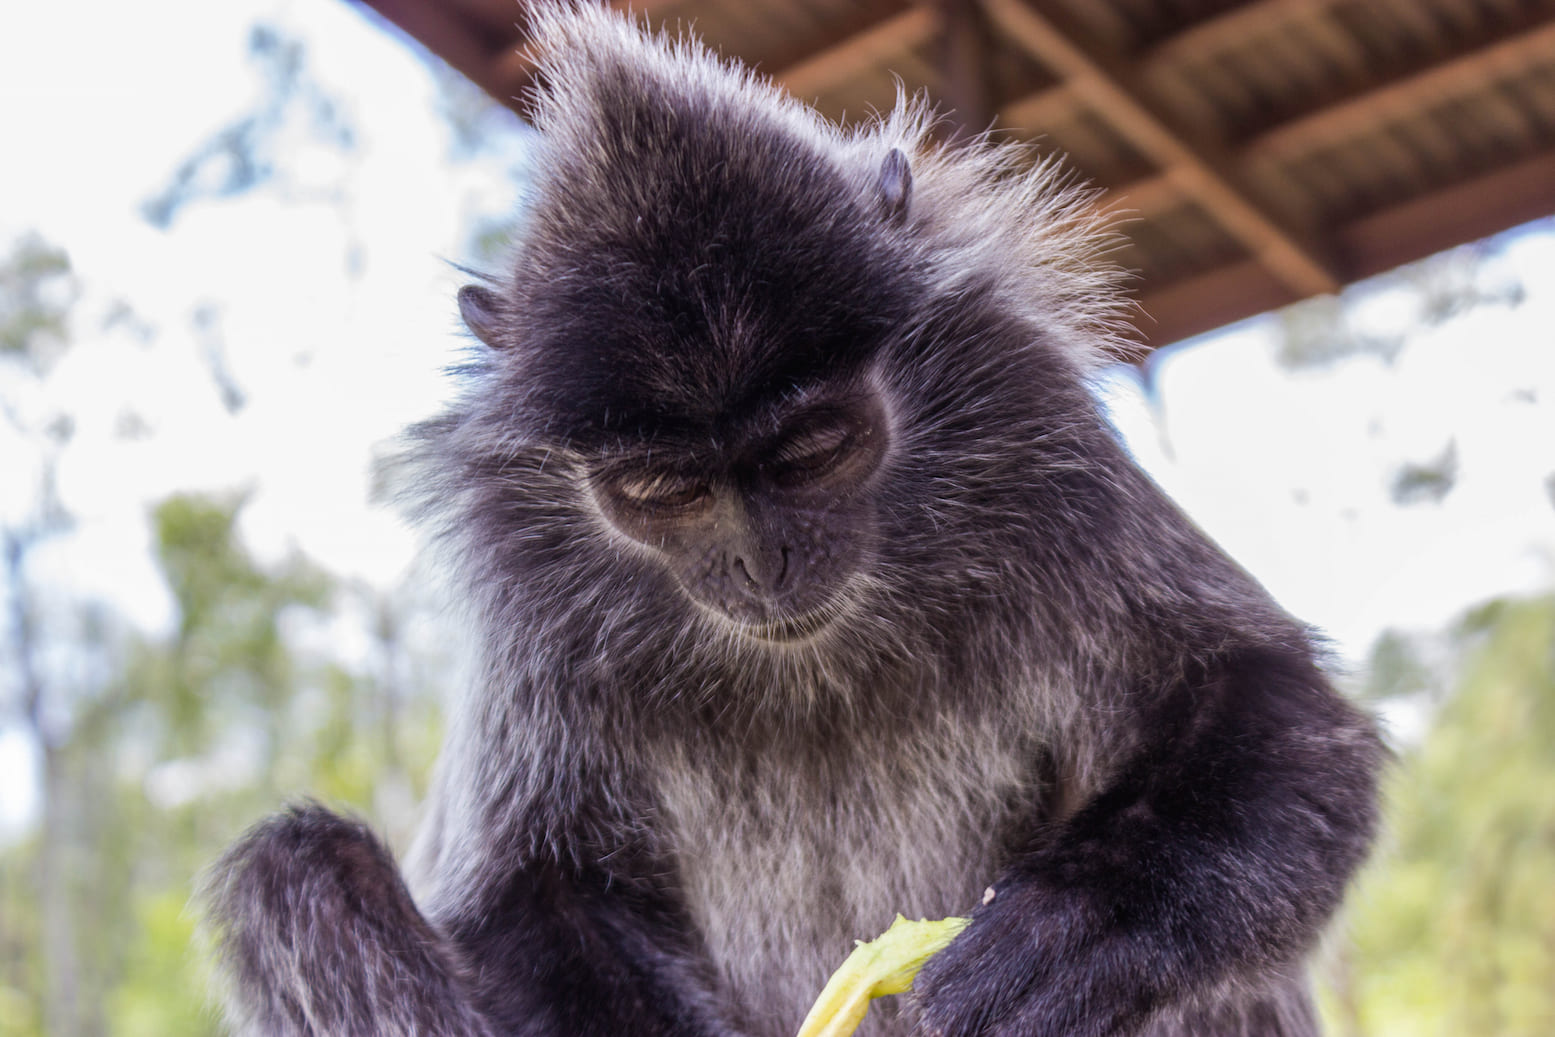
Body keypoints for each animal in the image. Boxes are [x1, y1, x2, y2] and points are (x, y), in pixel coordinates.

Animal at [202, 4, 1384, 1036]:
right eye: (662, 492)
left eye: (813, 447)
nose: (760, 559)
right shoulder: (521, 580)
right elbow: (527, 884)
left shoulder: (1034, 422)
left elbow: (1276, 703)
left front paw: (1068, 933)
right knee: (295, 871)